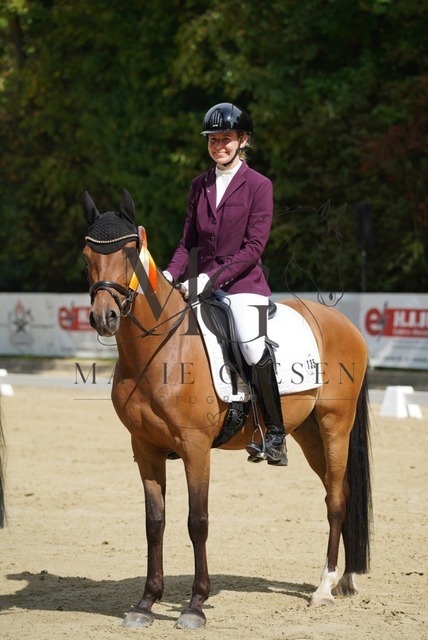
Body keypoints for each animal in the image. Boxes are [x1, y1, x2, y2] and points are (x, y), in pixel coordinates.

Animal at [82, 189, 372, 630]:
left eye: (131, 253)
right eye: (86, 256)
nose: (105, 317)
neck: (160, 350)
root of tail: (344, 323)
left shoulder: (196, 448)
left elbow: (197, 522)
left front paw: (195, 606)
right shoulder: (144, 448)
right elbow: (154, 523)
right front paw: (145, 604)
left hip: (334, 425)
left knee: (337, 499)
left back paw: (324, 588)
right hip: (307, 433)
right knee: (339, 491)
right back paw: (346, 579)